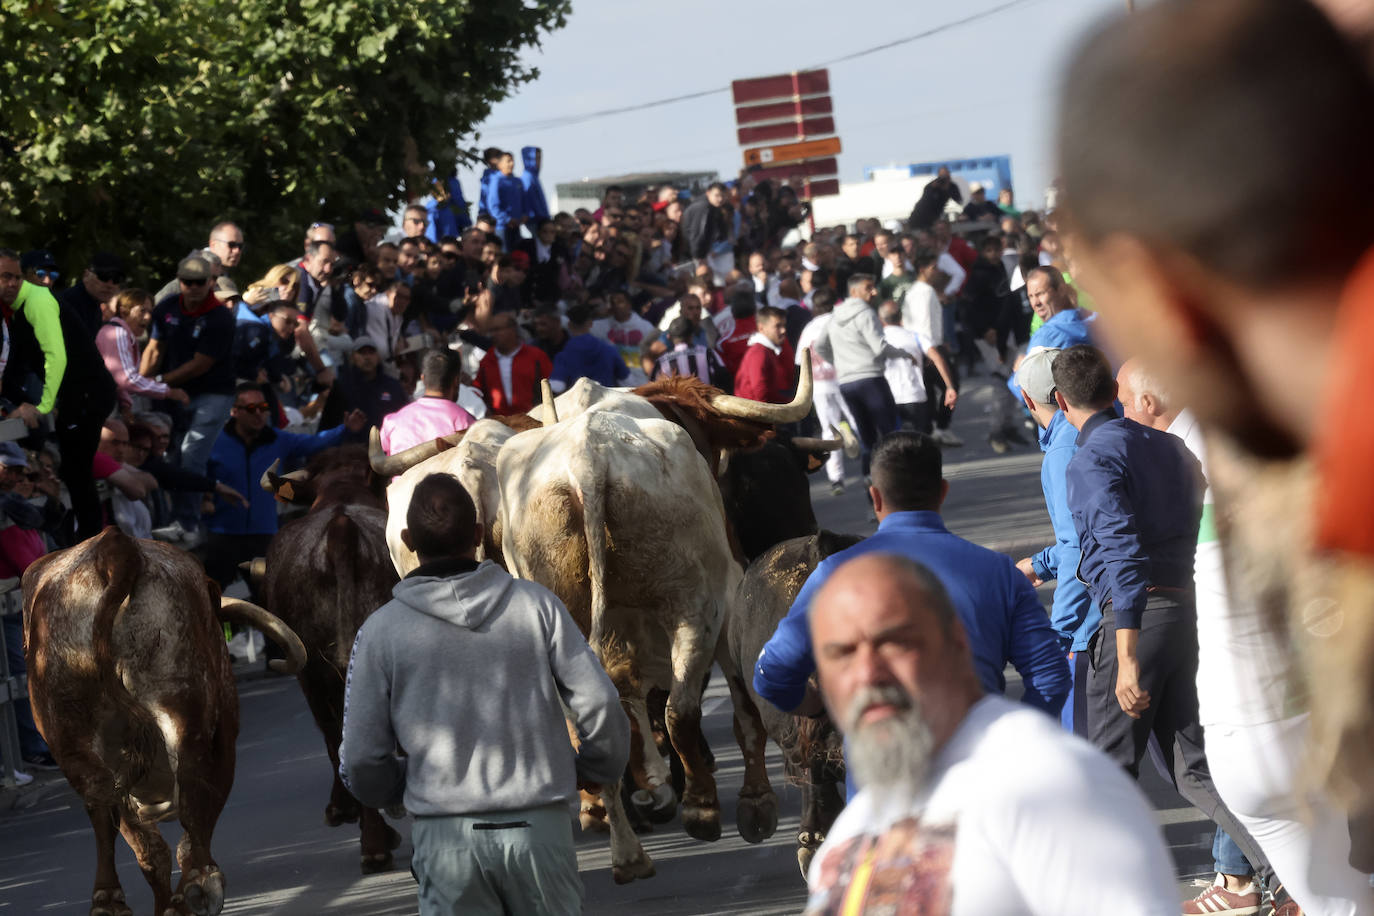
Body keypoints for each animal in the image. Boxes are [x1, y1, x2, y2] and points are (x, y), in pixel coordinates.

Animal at [23, 527, 306, 916]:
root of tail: (114, 545)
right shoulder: (224, 737)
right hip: (184, 710)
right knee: (187, 789)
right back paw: (198, 882)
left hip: (72, 732)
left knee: (107, 808)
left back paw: (112, 899)